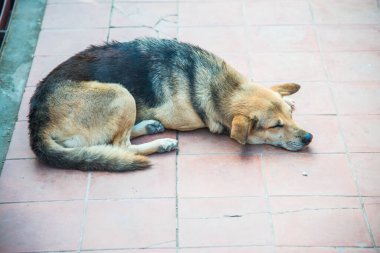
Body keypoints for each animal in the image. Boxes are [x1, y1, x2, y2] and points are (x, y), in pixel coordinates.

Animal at [29, 37, 312, 172]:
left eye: (289, 116)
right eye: (275, 126)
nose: (309, 137)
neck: (216, 85)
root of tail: (36, 124)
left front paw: (288, 96)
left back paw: (150, 127)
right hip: (121, 93)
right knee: (120, 146)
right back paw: (161, 143)